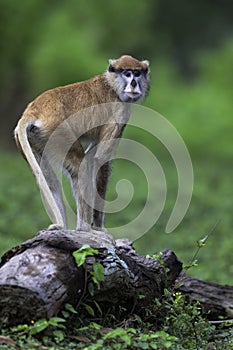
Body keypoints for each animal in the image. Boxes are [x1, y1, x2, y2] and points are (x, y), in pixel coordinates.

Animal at [14, 55, 150, 232]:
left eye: (137, 73)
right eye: (127, 73)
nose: (133, 83)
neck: (111, 84)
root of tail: (33, 111)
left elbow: (92, 155)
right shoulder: (119, 110)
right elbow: (100, 159)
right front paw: (98, 226)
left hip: (35, 138)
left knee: (50, 180)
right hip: (58, 131)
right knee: (80, 166)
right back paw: (83, 228)